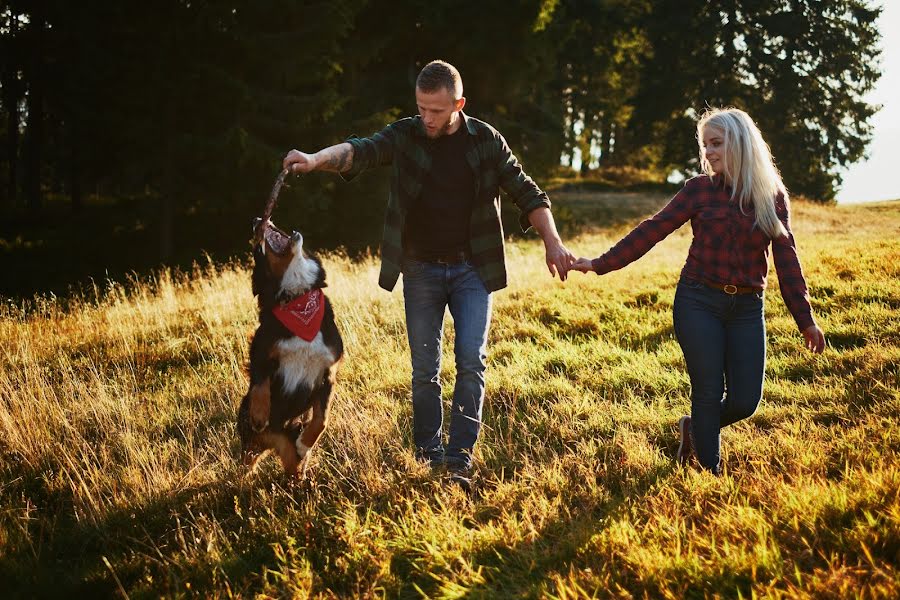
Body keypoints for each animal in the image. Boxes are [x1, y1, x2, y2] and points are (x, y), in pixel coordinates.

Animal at [237, 220, 342, 478]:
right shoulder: (261, 350)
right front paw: (259, 415)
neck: (298, 299)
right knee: (250, 455)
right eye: (256, 251)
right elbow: (260, 385)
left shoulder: (328, 371)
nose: (257, 220)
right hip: (250, 433)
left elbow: (321, 419)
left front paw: (305, 443)